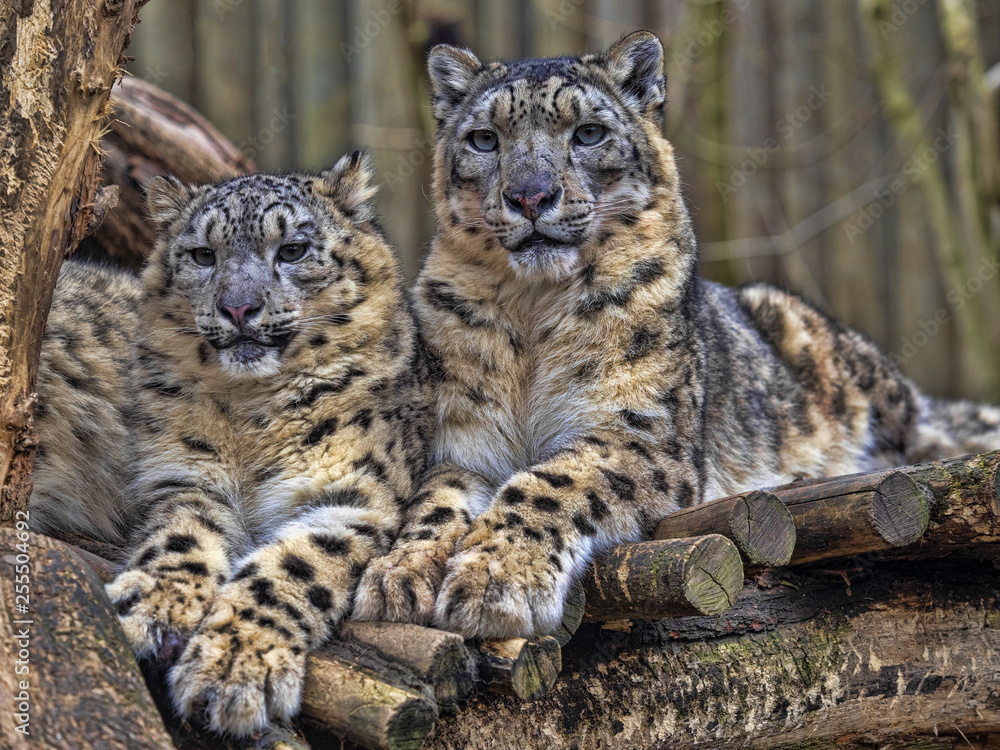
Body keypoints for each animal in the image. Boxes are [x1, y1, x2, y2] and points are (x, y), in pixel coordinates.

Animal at [29, 152, 435, 735]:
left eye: (293, 249)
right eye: (203, 255)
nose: (238, 308)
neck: (252, 416)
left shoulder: (352, 493)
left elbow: (294, 565)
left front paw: (237, 666)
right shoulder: (185, 475)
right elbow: (182, 534)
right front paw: (153, 607)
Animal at [353, 31, 1000, 640]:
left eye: (588, 132)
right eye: (484, 139)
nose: (530, 195)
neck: (532, 313)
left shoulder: (641, 431)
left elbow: (548, 483)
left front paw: (495, 581)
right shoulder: (464, 441)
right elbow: (433, 504)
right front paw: (395, 576)